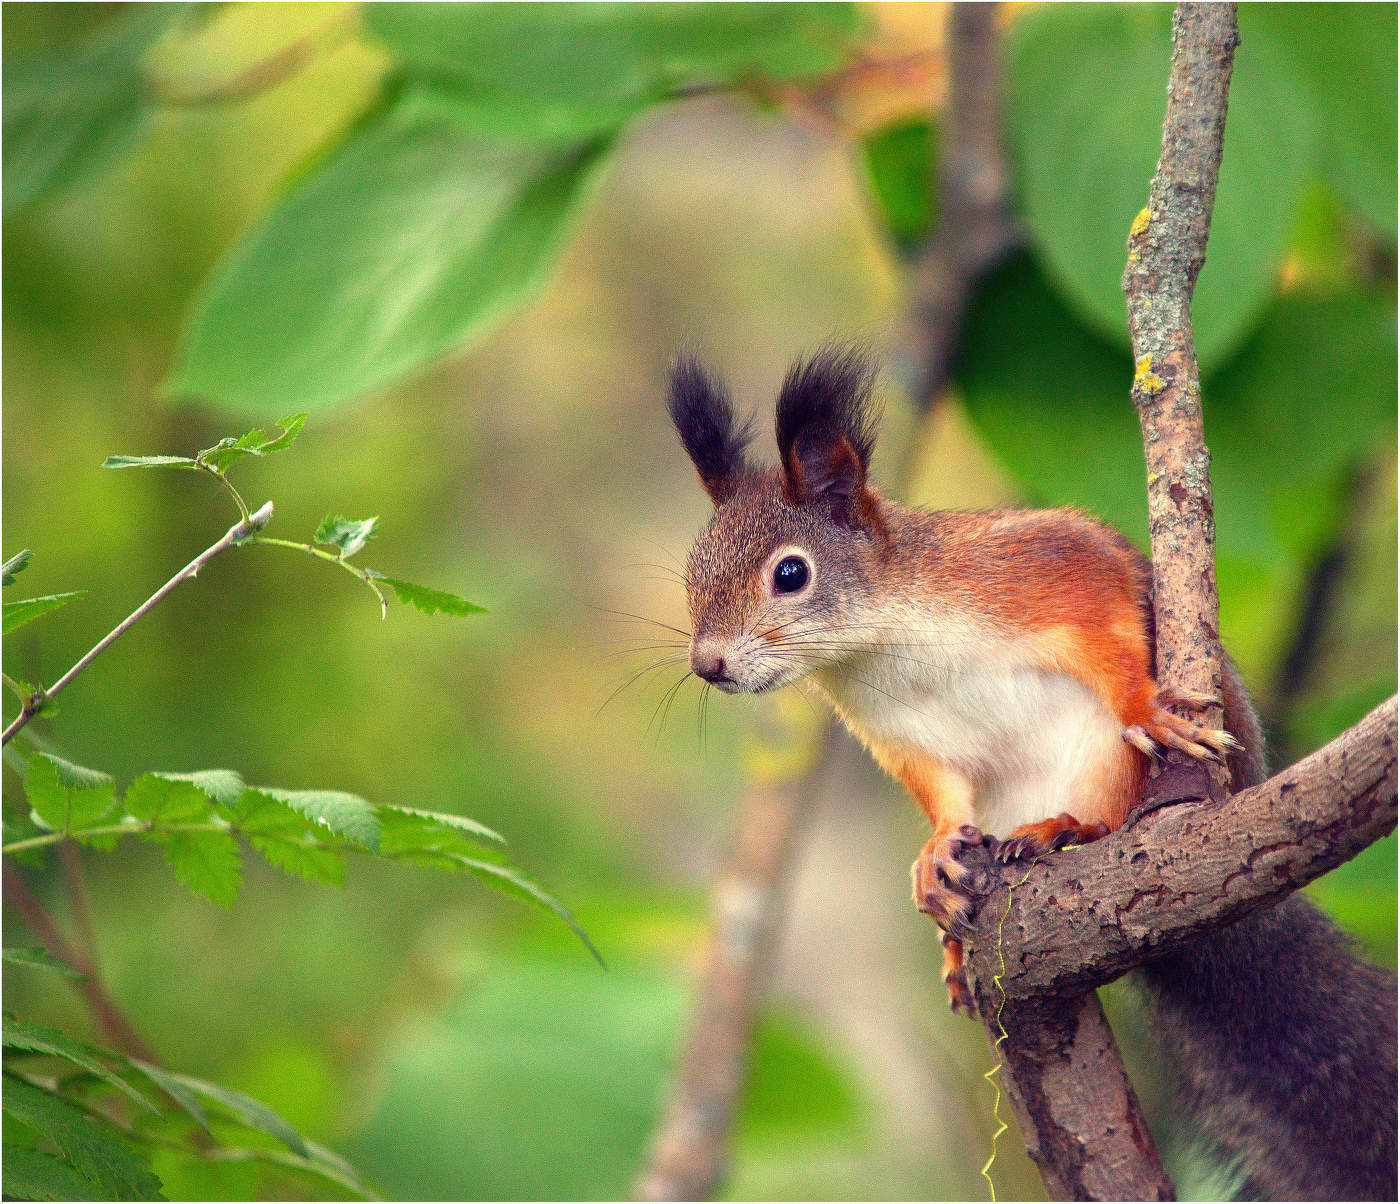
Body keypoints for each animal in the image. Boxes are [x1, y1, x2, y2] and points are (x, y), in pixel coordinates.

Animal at [665, 345, 1397, 1201]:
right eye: (692, 573)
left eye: (790, 574)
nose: (708, 665)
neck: (880, 643)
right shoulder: (901, 737)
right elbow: (942, 797)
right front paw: (934, 859)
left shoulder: (1040, 567)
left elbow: (1110, 628)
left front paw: (1145, 704)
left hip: (1107, 763)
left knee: (1111, 815)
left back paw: (1063, 830)